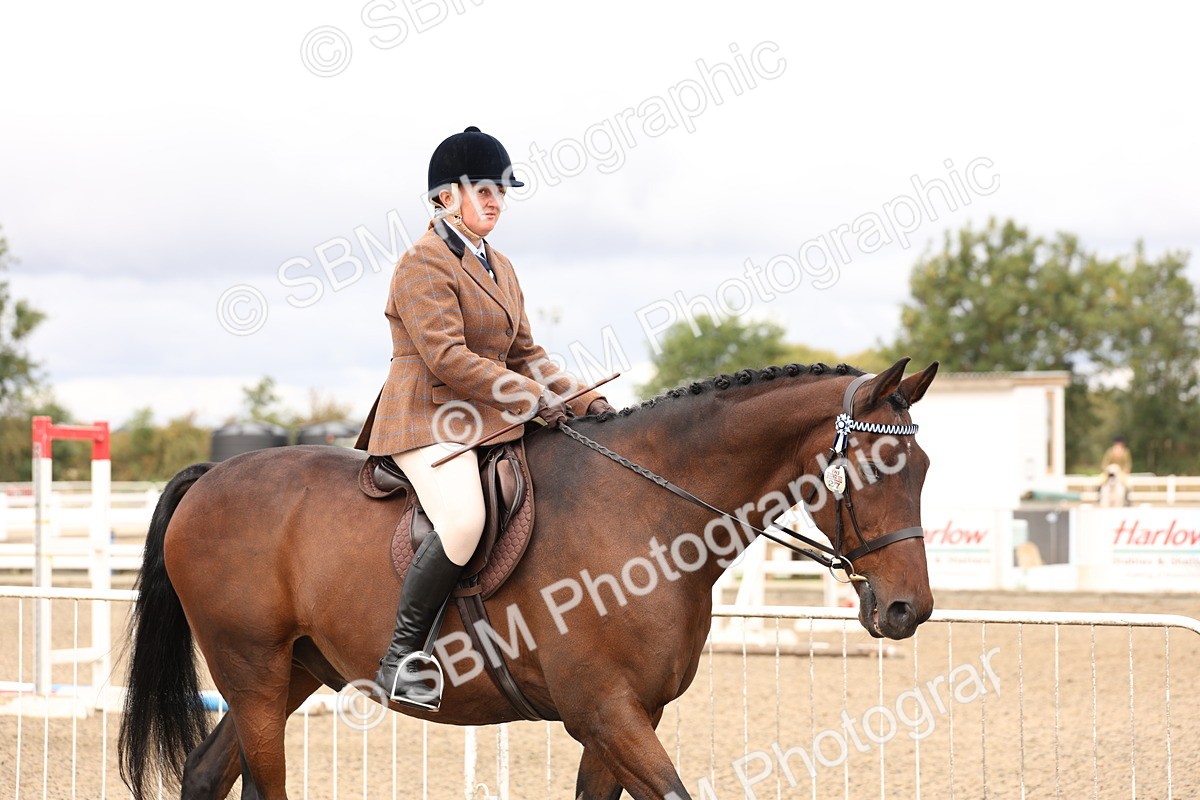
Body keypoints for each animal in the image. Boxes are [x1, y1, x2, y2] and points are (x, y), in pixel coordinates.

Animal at [118, 357, 938, 800]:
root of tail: (210, 475)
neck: (648, 510)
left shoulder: (626, 718)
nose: (908, 609)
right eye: (873, 468)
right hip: (252, 670)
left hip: (291, 672)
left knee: (205, 772)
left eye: (923, 466)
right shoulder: (606, 713)